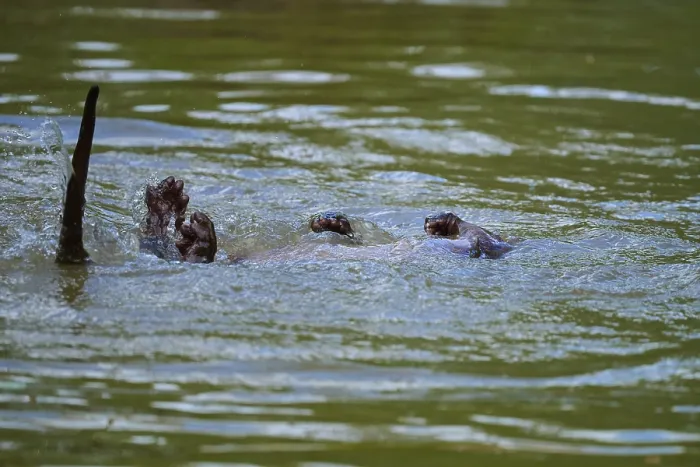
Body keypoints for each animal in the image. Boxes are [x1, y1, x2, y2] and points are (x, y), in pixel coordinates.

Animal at [55, 86, 513, 264]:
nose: (431, 221)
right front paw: (333, 222)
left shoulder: (489, 245)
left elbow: (485, 237)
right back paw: (168, 206)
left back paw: (192, 233)